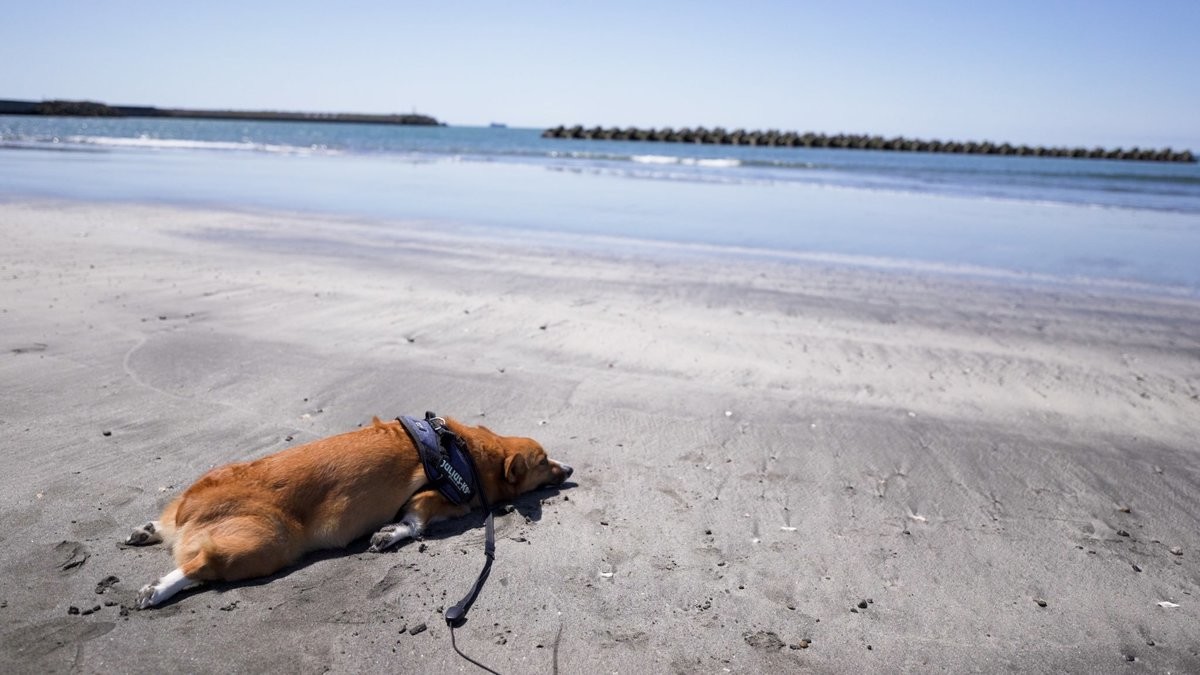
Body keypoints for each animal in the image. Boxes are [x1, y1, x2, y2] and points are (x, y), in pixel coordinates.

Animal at [126, 413, 571, 607]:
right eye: (543, 461)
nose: (569, 469)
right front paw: (392, 534)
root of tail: (195, 506)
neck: (470, 452)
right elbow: (415, 521)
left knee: (170, 527)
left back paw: (149, 530)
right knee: (202, 563)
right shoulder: (431, 497)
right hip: (268, 544)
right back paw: (160, 588)